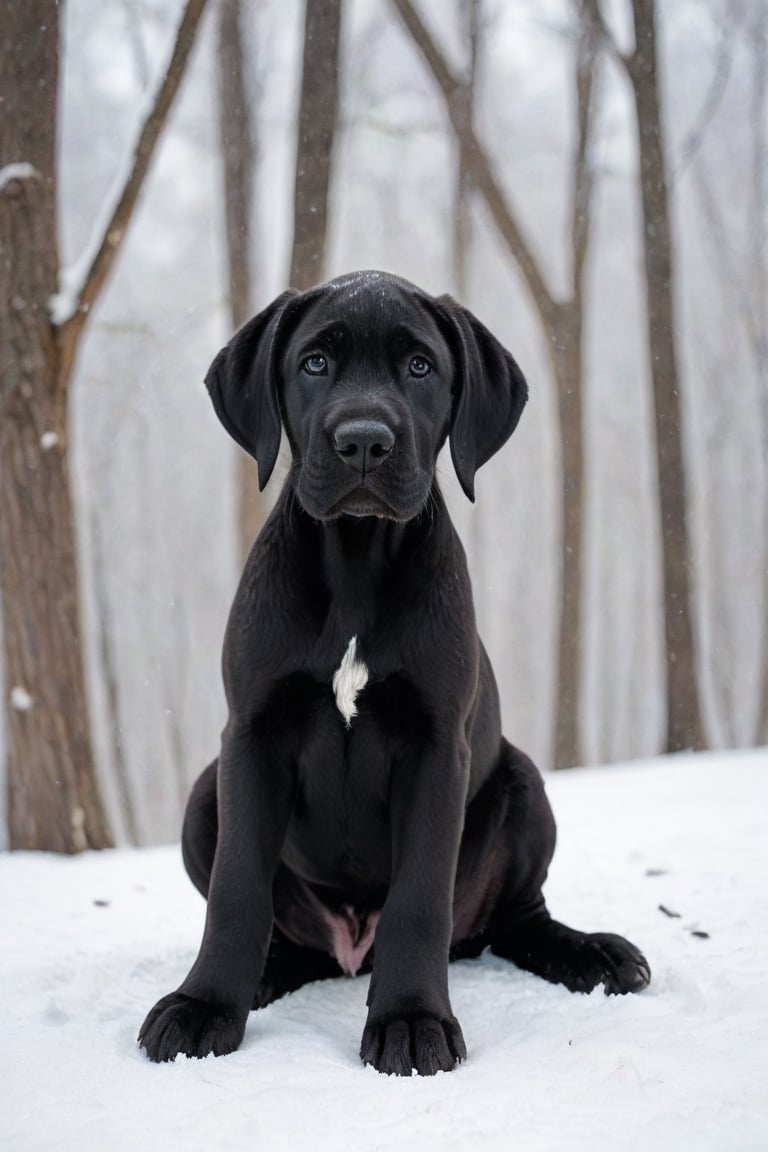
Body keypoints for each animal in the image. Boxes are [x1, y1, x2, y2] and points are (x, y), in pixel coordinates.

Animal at [138, 267, 649, 1069]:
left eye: (419, 367)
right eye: (315, 363)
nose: (363, 442)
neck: (355, 563)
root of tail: (351, 949)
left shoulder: (438, 746)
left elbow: (419, 898)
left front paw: (411, 1020)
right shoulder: (250, 736)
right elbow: (235, 889)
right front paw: (205, 1005)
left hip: (525, 784)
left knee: (518, 918)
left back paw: (591, 952)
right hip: (203, 793)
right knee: (285, 933)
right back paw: (265, 974)